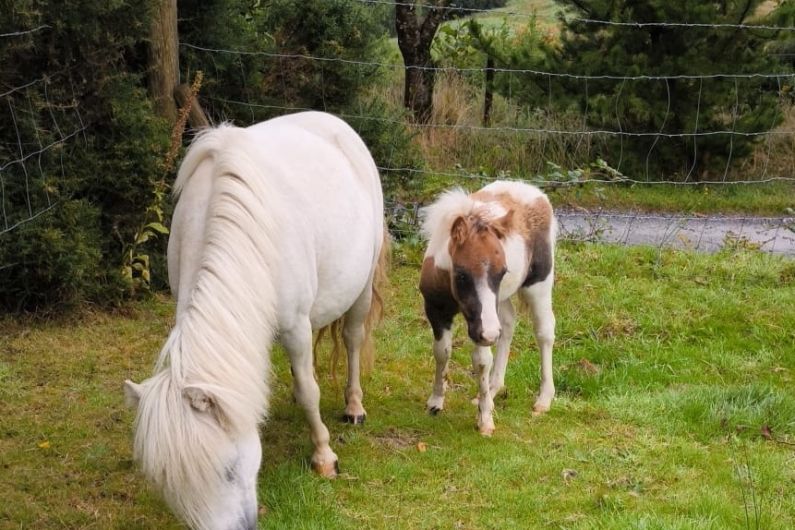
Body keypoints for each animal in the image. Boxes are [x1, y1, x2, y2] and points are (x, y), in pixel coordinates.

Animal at [123, 111, 388, 528]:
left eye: (229, 470)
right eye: (169, 487)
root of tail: (332, 121)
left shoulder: (295, 327)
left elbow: (311, 391)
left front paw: (323, 456)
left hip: (360, 290)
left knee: (352, 340)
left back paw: (353, 407)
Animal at [420, 180, 556, 434]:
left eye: (502, 272)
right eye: (462, 274)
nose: (489, 333)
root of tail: (537, 194)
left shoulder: (481, 326)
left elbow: (481, 361)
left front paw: (485, 421)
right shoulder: (437, 310)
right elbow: (442, 352)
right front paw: (435, 402)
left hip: (539, 285)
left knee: (544, 332)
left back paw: (543, 399)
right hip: (498, 304)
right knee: (509, 324)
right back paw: (493, 389)